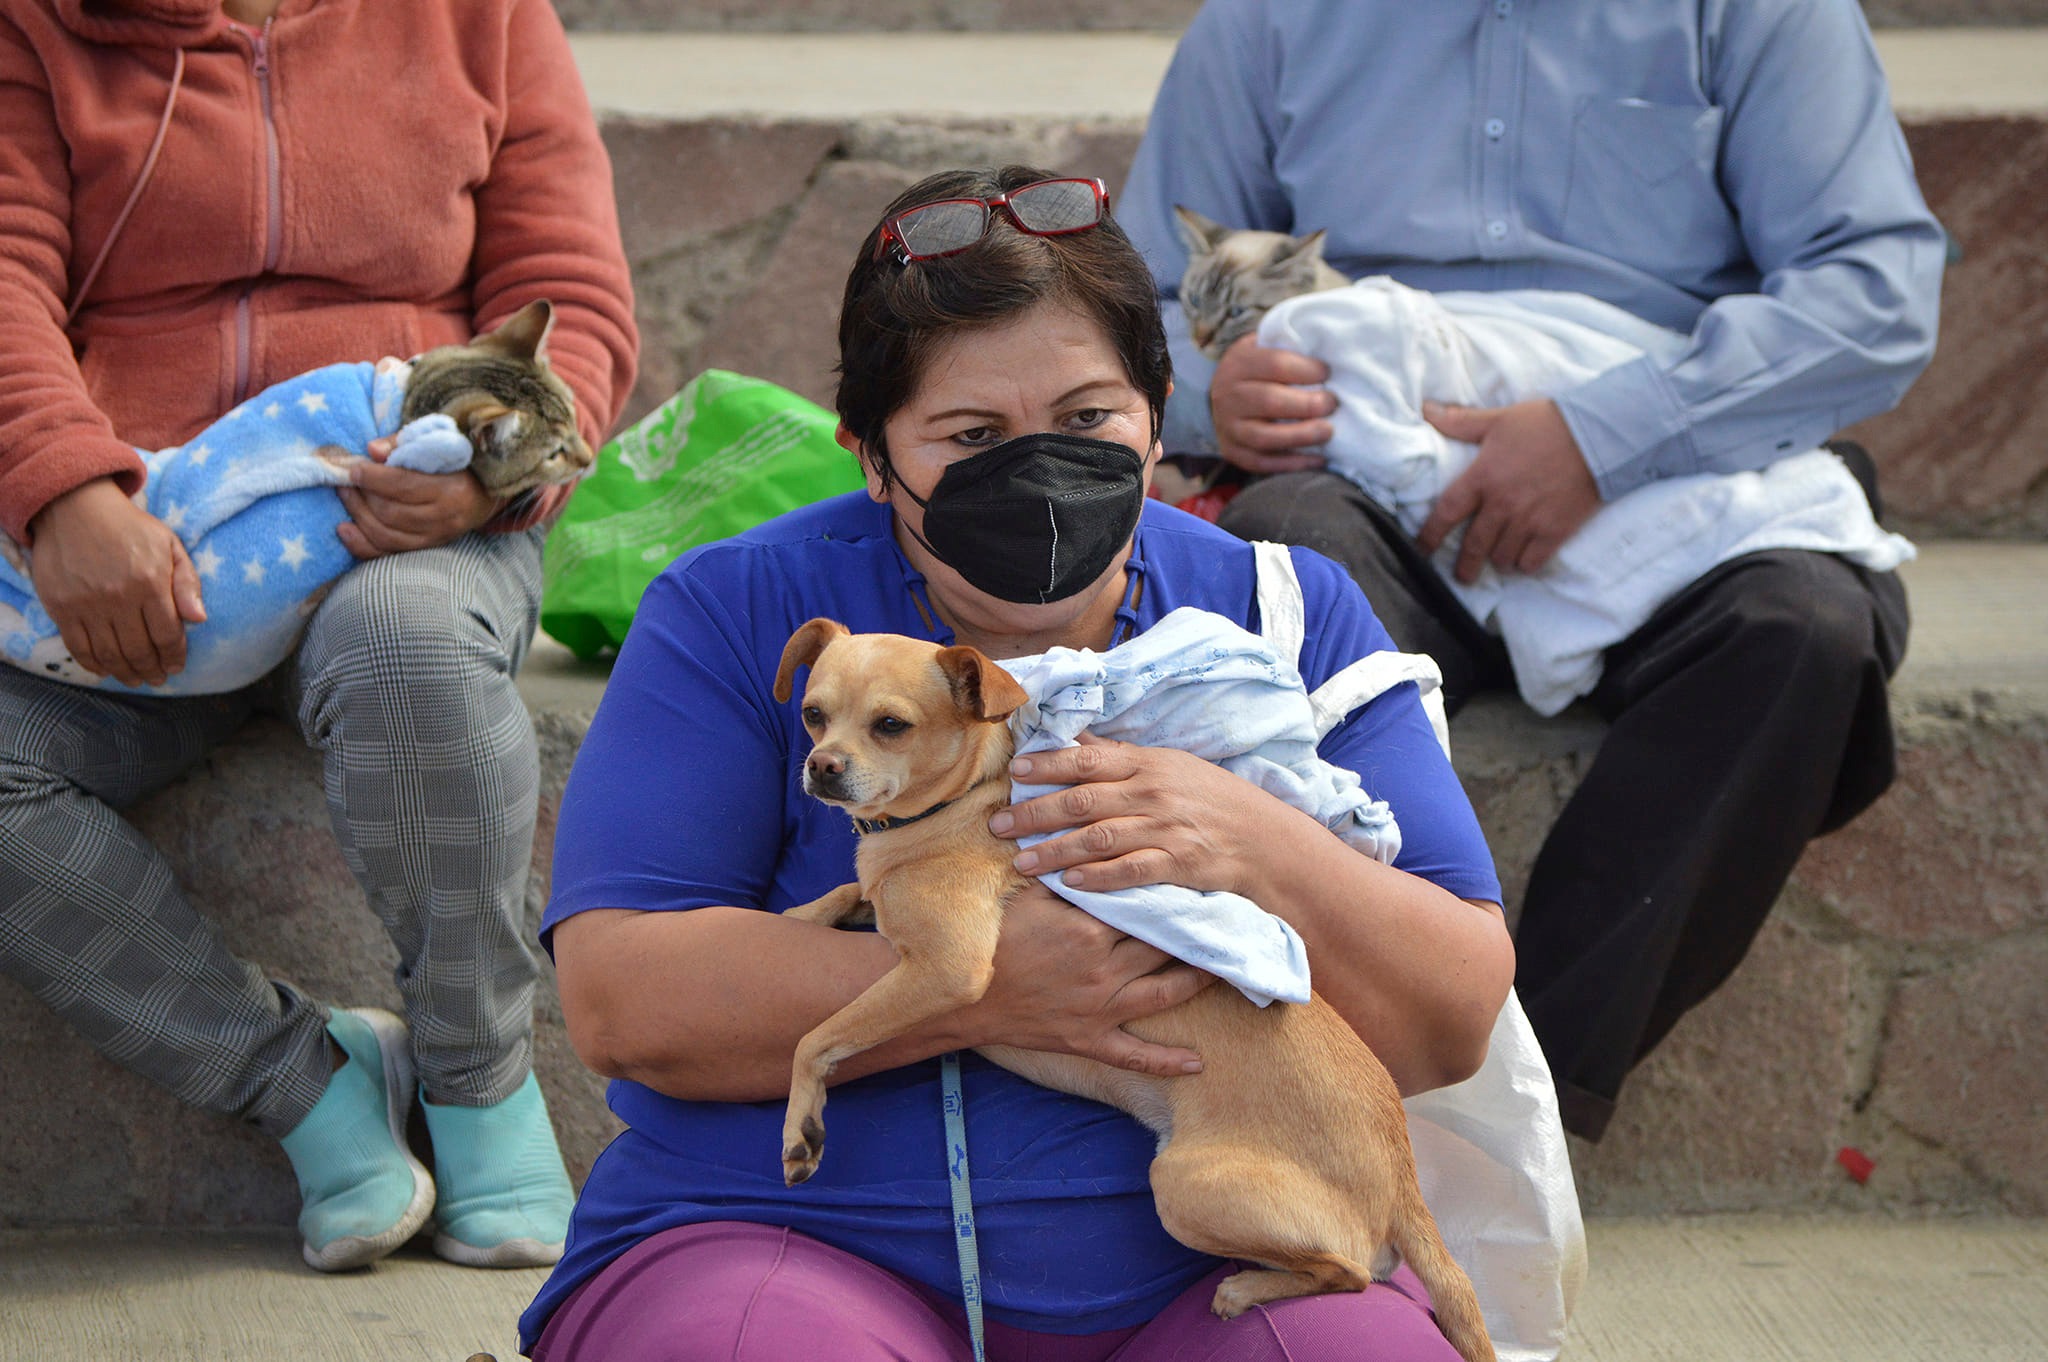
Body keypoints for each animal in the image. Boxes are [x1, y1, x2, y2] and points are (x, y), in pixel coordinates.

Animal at [774, 618, 1499, 1359]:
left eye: (891, 725)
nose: (821, 766)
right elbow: (846, 895)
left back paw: (1246, 1289)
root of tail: (1405, 1176)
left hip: (1184, 1185)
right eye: (813, 716)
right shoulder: (891, 917)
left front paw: (802, 1128)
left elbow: (816, 1038)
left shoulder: (947, 967)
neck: (956, 804)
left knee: (1348, 1270)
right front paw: (798, 916)